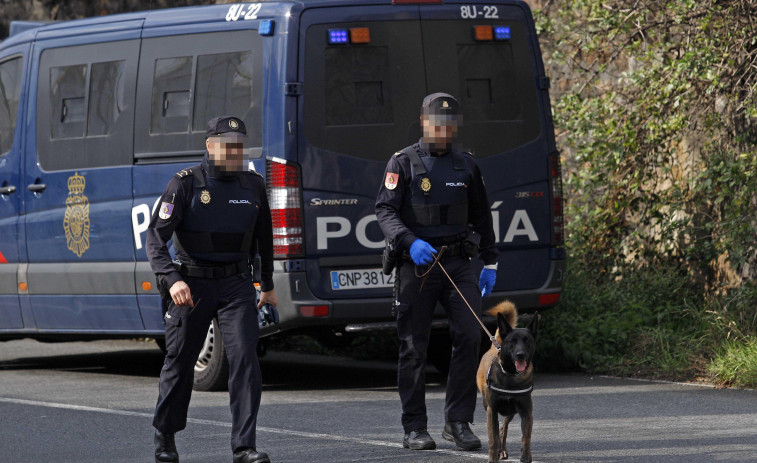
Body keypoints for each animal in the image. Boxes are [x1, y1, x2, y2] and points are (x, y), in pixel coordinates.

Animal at [476, 300, 536, 463]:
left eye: (527, 341)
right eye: (512, 341)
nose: (520, 355)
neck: (511, 375)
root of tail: (494, 346)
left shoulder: (526, 412)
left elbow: (526, 437)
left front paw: (526, 456)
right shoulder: (492, 410)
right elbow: (492, 439)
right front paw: (493, 457)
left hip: (511, 411)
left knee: (503, 427)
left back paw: (503, 450)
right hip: (489, 407)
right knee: (498, 431)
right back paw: (499, 451)